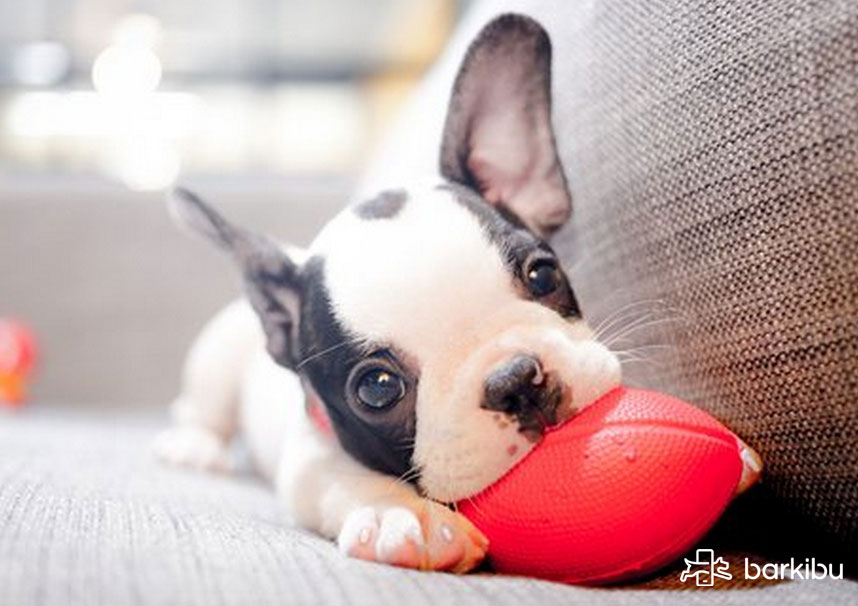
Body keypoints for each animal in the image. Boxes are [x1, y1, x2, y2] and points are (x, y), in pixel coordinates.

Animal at [154, 15, 620, 576]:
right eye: (377, 388)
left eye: (543, 275)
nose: (515, 381)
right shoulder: (311, 456)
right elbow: (343, 477)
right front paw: (403, 513)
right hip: (216, 360)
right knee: (200, 409)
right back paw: (196, 446)